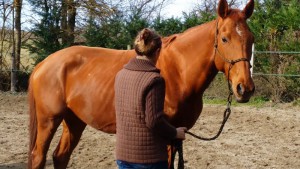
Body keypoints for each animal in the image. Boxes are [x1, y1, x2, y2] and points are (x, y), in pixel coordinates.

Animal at [28, 0, 254, 168]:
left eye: (251, 39)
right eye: (224, 39)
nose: (245, 88)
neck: (178, 71)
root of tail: (44, 63)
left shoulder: (176, 135)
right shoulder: (164, 135)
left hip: (74, 120)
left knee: (60, 157)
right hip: (48, 120)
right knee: (39, 157)